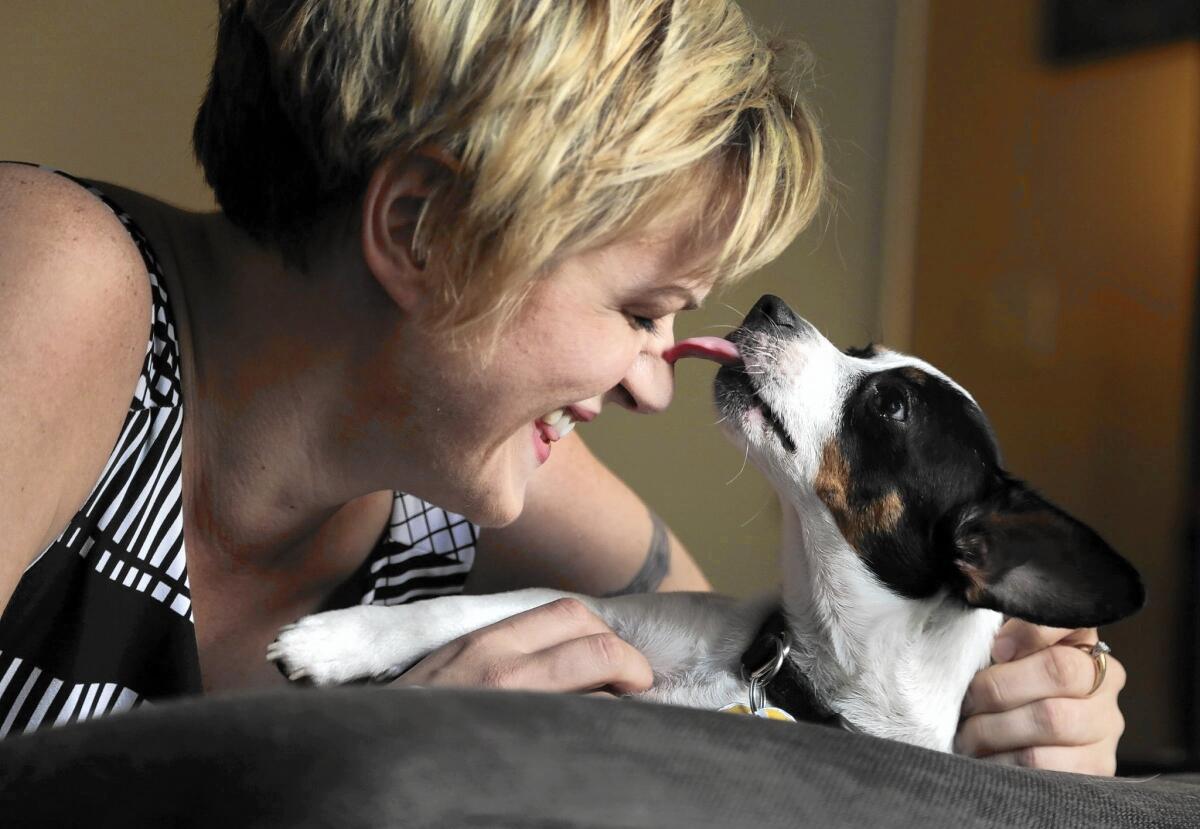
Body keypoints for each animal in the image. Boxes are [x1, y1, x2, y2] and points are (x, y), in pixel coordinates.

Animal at [270, 296, 1142, 753]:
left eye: (889, 405)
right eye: (860, 349)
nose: (770, 304)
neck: (791, 667)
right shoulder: (597, 614)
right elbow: (465, 609)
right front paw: (340, 638)